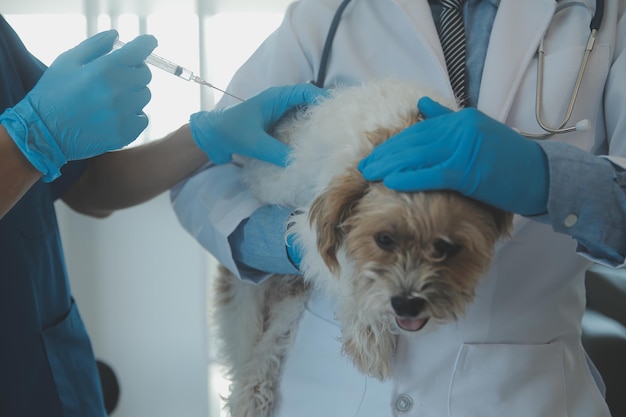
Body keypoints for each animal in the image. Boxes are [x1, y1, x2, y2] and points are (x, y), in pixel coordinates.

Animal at [211, 79, 512, 416]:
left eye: (446, 247)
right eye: (383, 240)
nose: (408, 304)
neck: (402, 135)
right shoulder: (307, 229)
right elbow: (346, 277)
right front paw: (369, 338)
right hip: (244, 296)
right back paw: (248, 393)